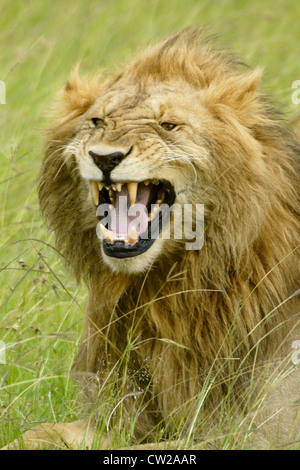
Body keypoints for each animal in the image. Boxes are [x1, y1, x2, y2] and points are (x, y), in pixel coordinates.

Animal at [2, 28, 300, 448]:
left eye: (168, 125)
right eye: (97, 121)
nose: (105, 157)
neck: (167, 287)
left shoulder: (259, 431)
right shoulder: (118, 415)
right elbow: (34, 433)